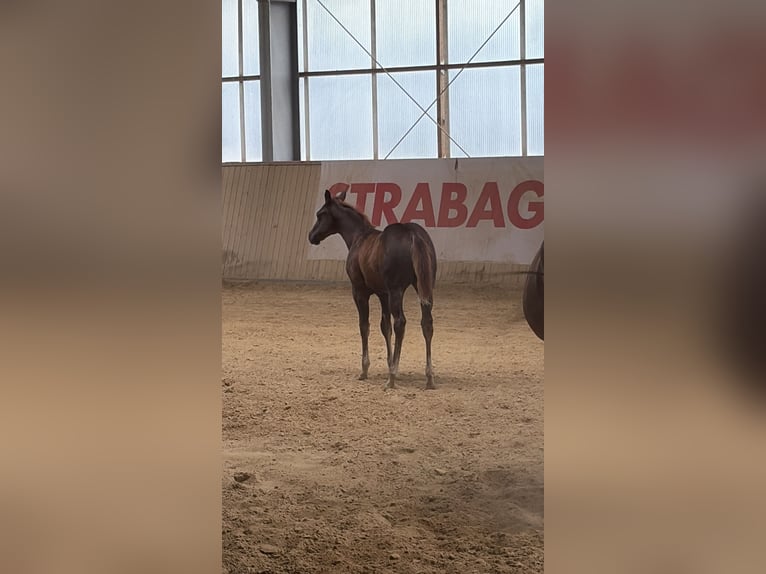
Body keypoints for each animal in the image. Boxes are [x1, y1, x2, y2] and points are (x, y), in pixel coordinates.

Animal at [308, 189, 438, 389]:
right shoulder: (383, 294)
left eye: (320, 214)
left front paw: (366, 369)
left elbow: (364, 326)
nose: (311, 236)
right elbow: (385, 327)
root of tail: (413, 234)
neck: (358, 238)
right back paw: (429, 377)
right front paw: (390, 363)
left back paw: (391, 378)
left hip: (397, 290)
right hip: (423, 287)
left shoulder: (360, 292)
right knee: (427, 323)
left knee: (400, 323)